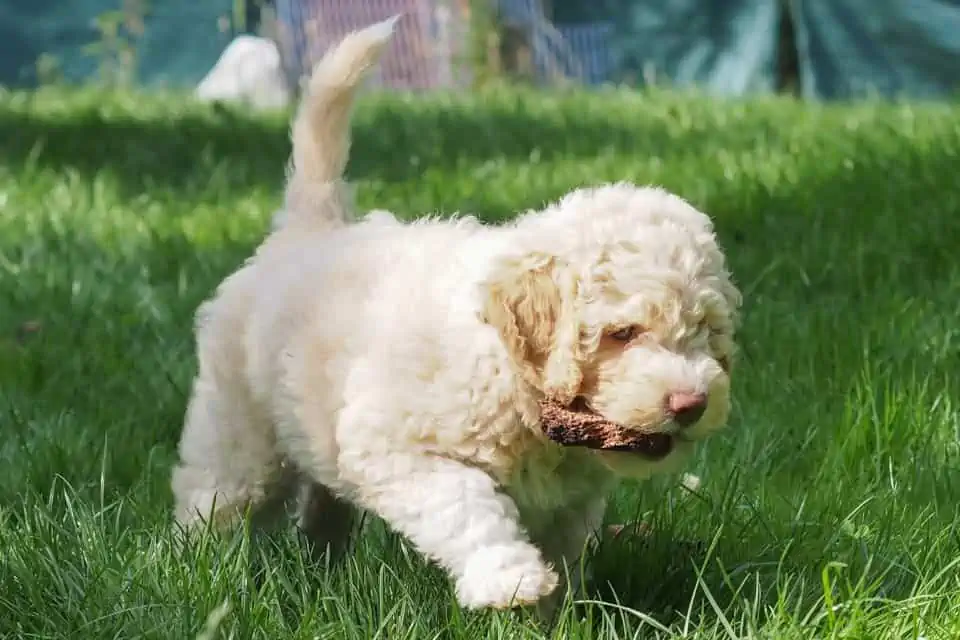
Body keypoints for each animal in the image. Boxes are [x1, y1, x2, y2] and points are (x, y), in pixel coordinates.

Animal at [171, 17, 744, 612]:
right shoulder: (400, 449)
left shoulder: (569, 502)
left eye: (704, 332)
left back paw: (322, 566)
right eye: (622, 333)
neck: (510, 373)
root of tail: (311, 227)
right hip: (239, 429)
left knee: (322, 503)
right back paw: (194, 568)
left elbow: (563, 551)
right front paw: (510, 578)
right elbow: (468, 506)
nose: (691, 404)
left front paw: (557, 615)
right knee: (215, 494)